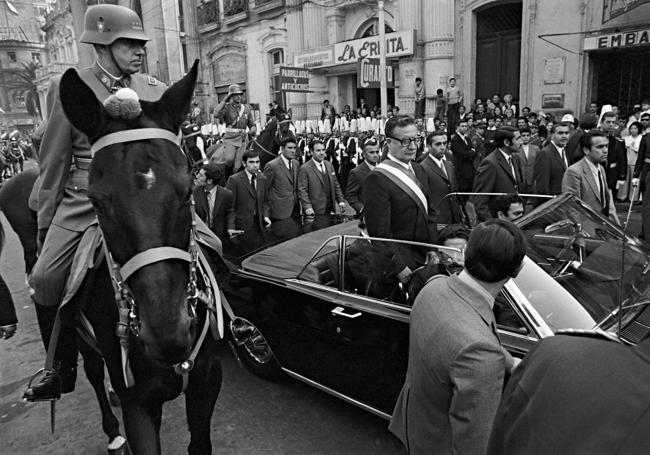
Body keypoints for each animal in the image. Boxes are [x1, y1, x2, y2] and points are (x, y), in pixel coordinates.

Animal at [52, 59, 223, 452]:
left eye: (187, 190)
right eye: (96, 201)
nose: (167, 334)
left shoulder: (207, 380)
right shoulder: (140, 405)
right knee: (94, 374)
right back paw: (112, 431)